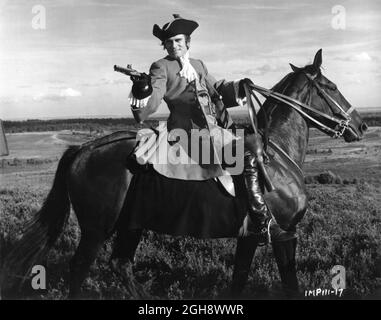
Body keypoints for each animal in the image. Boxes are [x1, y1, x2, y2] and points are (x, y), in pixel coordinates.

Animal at [2, 50, 366, 298]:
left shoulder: (251, 236)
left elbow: (239, 279)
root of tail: (83, 149)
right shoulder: (283, 233)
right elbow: (288, 282)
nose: (361, 126)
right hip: (95, 230)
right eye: (332, 86)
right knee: (80, 269)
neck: (276, 155)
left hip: (130, 225)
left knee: (120, 264)